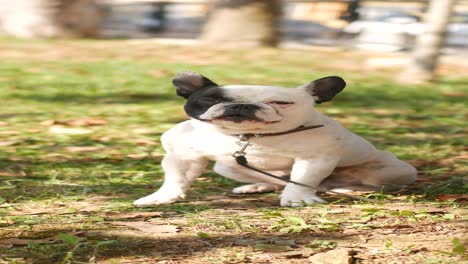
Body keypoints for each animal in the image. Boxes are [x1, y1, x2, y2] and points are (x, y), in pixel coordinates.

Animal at [133, 71, 414, 206]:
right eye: (211, 99)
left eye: (280, 102)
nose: (243, 105)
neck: (250, 137)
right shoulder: (184, 155)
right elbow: (176, 179)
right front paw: (163, 196)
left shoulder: (315, 159)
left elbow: (303, 179)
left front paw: (297, 198)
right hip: (227, 168)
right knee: (276, 181)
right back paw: (257, 186)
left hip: (398, 170)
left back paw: (349, 188)